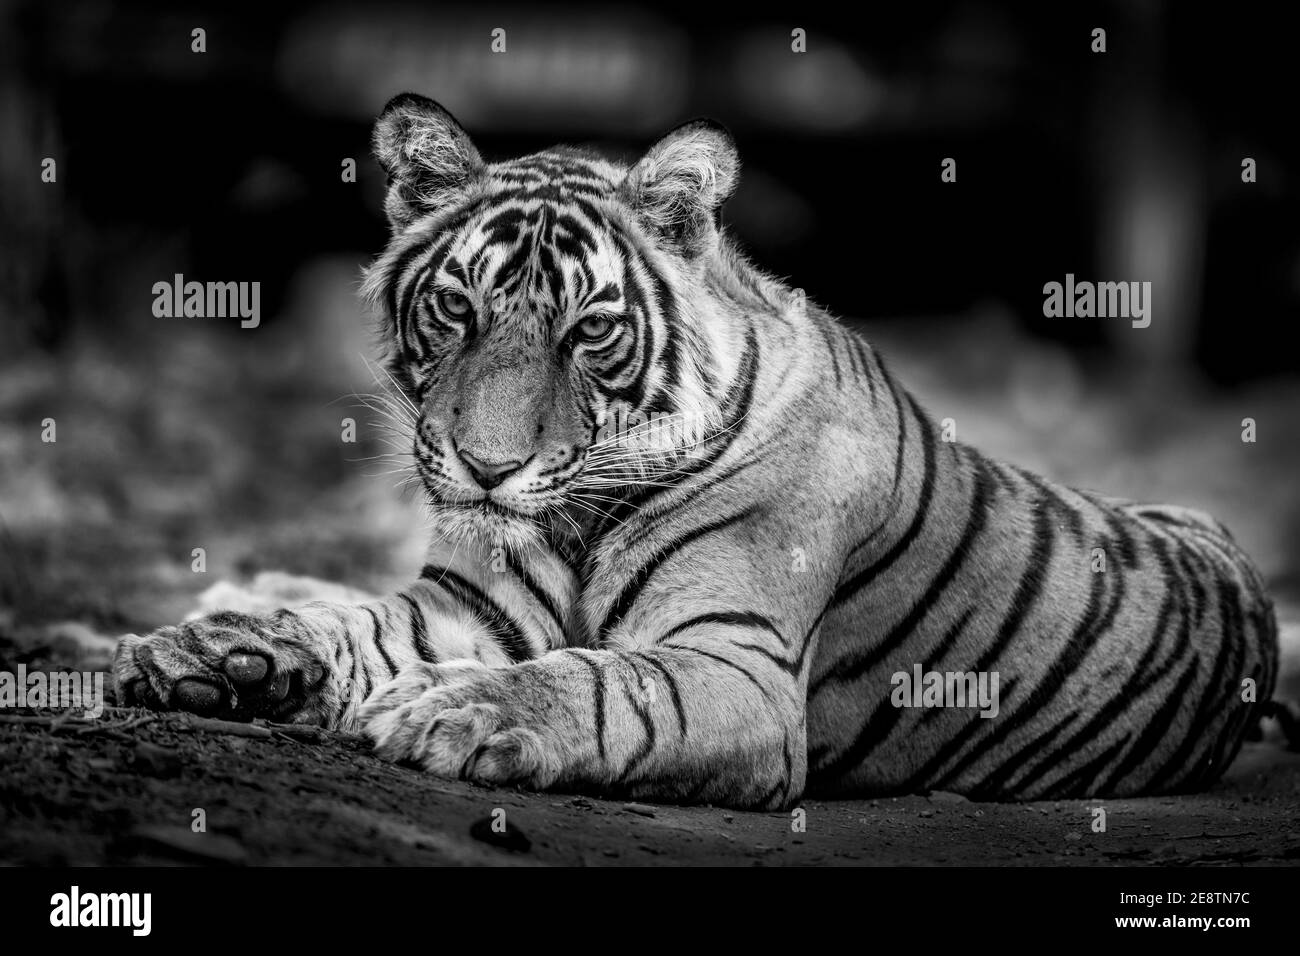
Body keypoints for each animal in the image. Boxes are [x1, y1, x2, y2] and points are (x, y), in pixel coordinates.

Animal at [114, 93, 1279, 806]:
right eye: (456, 308)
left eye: (589, 330)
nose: (488, 468)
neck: (578, 519)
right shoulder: (468, 604)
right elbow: (350, 619)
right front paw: (211, 651)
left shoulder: (736, 667)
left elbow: (593, 679)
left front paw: (452, 706)